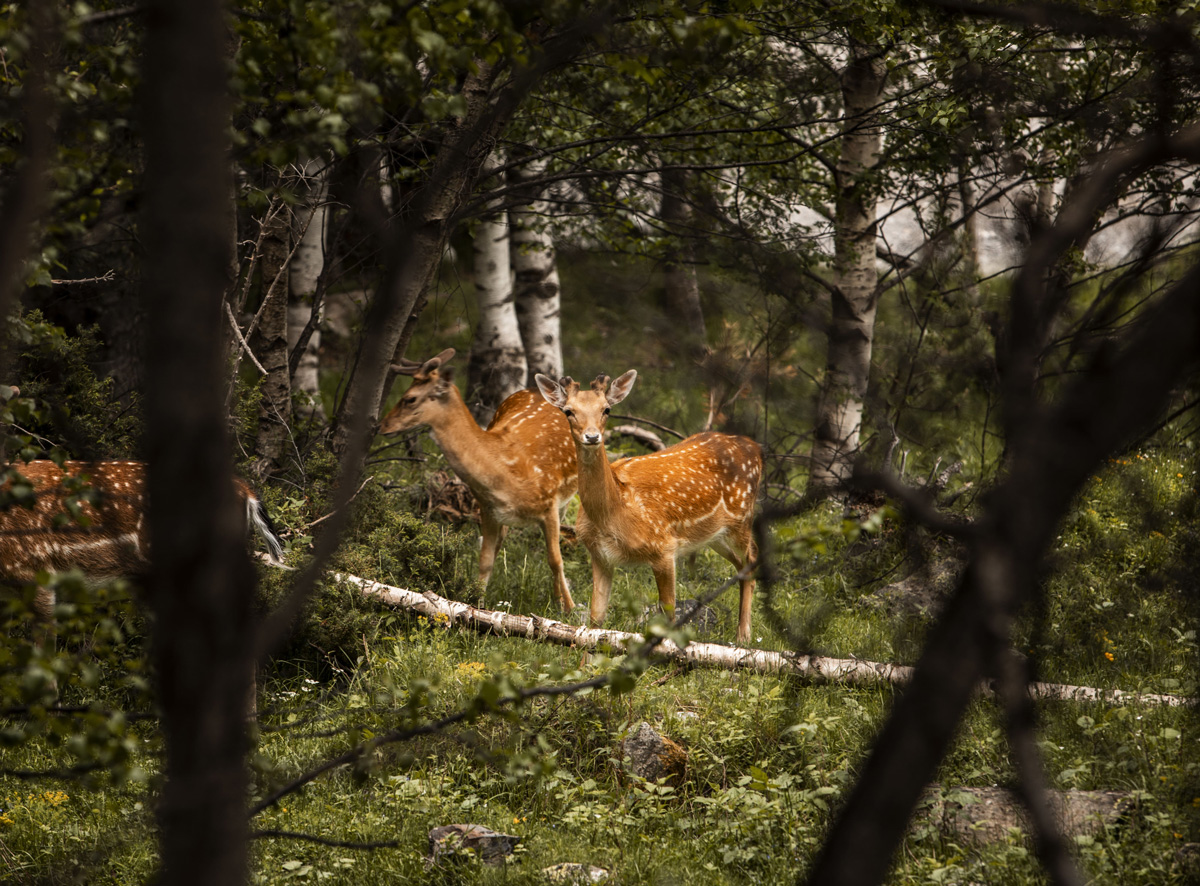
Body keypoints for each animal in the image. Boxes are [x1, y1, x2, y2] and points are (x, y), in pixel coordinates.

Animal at [379, 348, 576, 609]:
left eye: (410, 398)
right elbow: (485, 560)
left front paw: (570, 609)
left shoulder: (549, 503)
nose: (382, 426)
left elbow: (556, 560)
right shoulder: (488, 509)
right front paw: (475, 605)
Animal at [540, 367, 763, 643]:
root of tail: (755, 448)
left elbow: (669, 615)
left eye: (606, 409)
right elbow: (595, 621)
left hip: (742, 517)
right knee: (742, 564)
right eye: (568, 411)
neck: (614, 513)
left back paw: (743, 637)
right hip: (714, 535)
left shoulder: (664, 547)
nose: (592, 436)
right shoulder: (600, 556)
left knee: (752, 558)